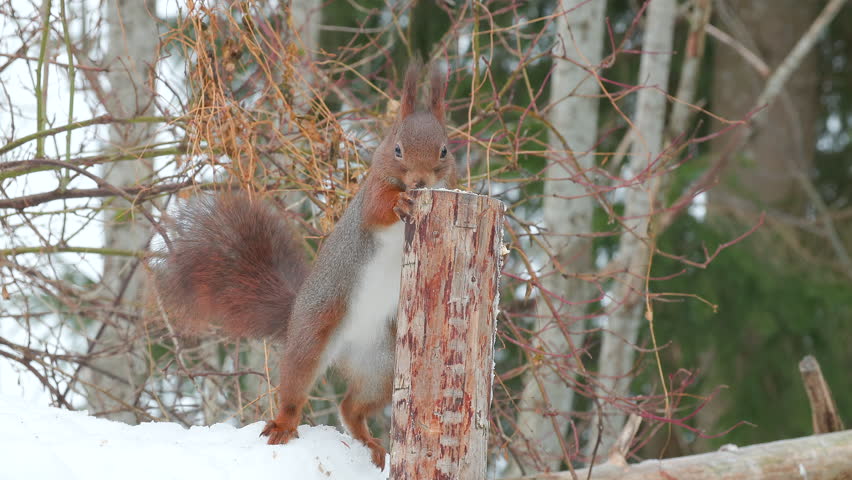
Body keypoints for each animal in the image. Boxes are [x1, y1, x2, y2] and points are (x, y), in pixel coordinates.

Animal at [152, 63, 457, 470]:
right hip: (314, 333)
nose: (421, 182)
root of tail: (345, 347)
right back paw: (284, 423)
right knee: (296, 386)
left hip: (384, 364)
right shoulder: (370, 196)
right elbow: (380, 208)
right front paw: (401, 202)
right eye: (397, 148)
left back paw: (369, 443)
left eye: (444, 150)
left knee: (350, 407)